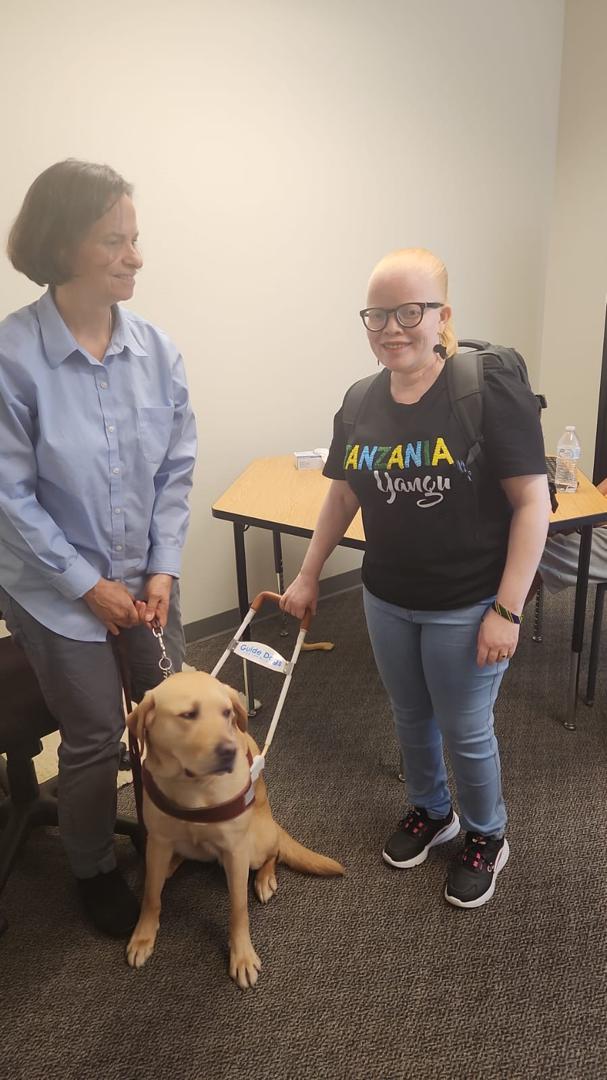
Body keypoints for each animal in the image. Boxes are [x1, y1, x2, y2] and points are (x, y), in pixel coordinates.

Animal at [125, 669, 343, 989]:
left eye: (227, 712)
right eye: (188, 714)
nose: (229, 752)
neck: (193, 787)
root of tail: (274, 823)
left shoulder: (235, 851)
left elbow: (238, 910)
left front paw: (241, 956)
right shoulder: (160, 840)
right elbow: (152, 896)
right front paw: (143, 936)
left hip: (255, 846)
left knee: (274, 853)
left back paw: (265, 879)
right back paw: (171, 864)